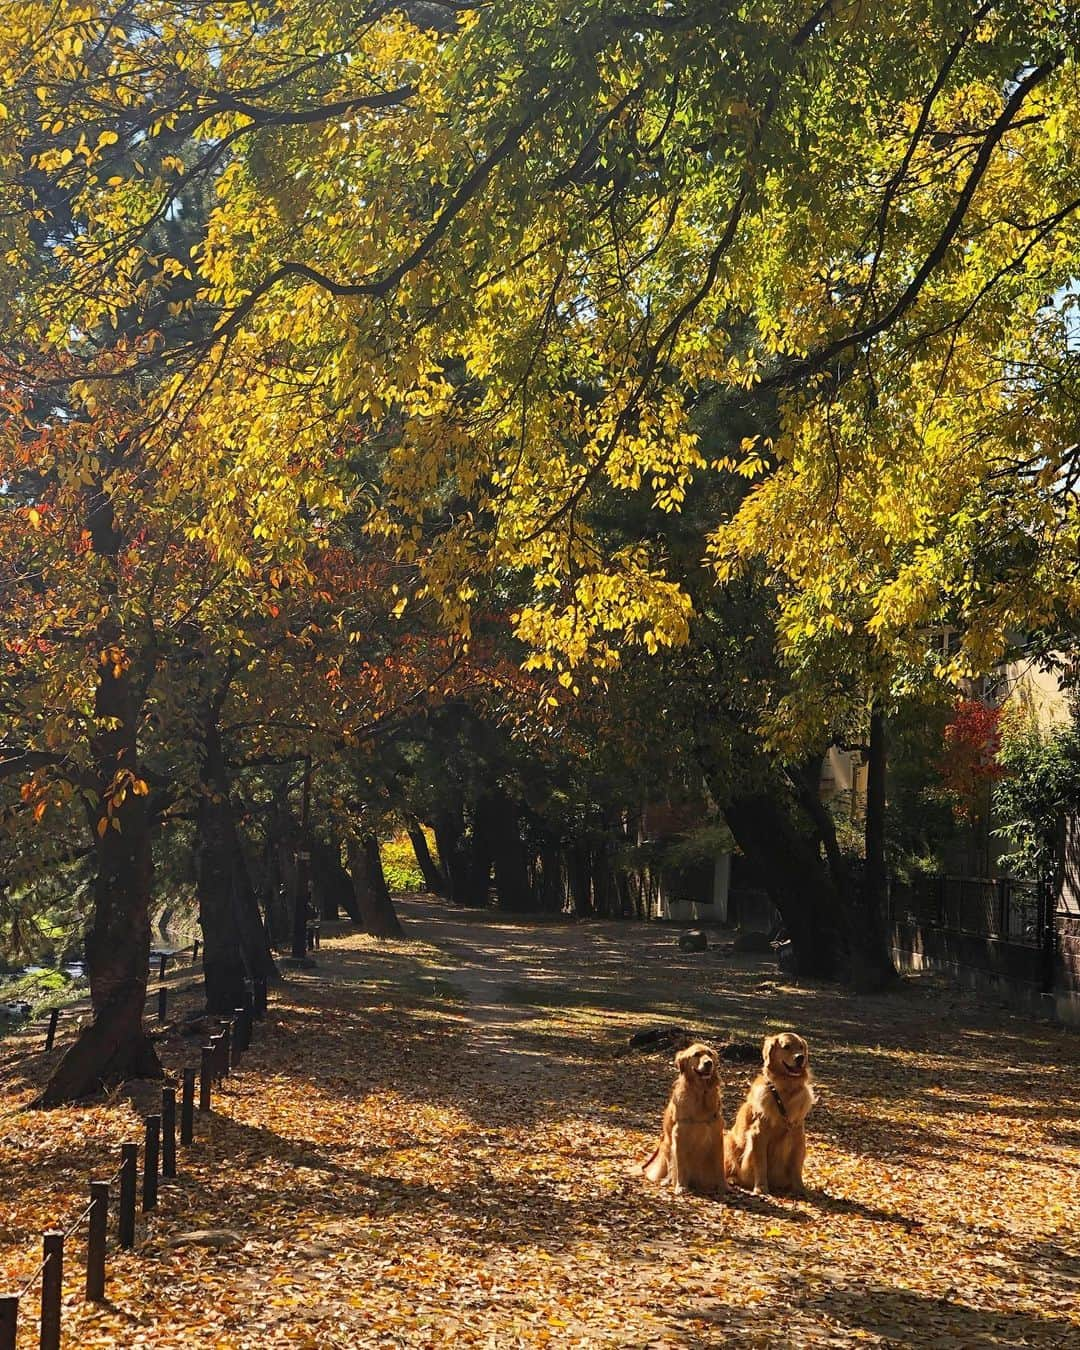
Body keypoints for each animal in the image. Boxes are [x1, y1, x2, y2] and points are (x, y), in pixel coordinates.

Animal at [642, 1042, 723, 1193]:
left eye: (709, 1054)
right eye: (696, 1054)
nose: (709, 1063)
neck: (701, 1093)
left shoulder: (717, 1134)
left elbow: (720, 1166)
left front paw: (724, 1187)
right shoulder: (679, 1134)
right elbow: (680, 1166)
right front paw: (680, 1186)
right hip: (667, 1147)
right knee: (670, 1169)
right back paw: (667, 1181)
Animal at [723, 1026, 815, 1198]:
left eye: (801, 1047)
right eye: (786, 1047)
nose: (800, 1057)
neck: (786, 1090)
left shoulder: (798, 1135)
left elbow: (796, 1166)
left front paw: (799, 1188)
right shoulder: (758, 1134)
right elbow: (761, 1164)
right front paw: (761, 1188)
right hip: (729, 1142)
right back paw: (733, 1179)